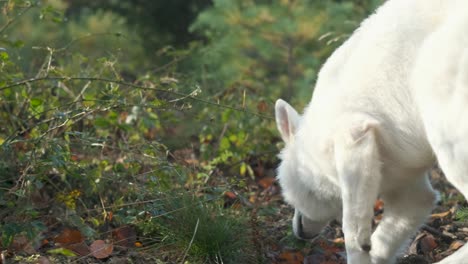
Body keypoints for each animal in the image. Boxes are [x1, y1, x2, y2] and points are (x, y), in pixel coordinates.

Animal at [274, 0, 468, 264]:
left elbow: (353, 227)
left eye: (289, 197)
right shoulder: (404, 177)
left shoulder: (354, 138)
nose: (299, 231)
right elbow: (409, 212)